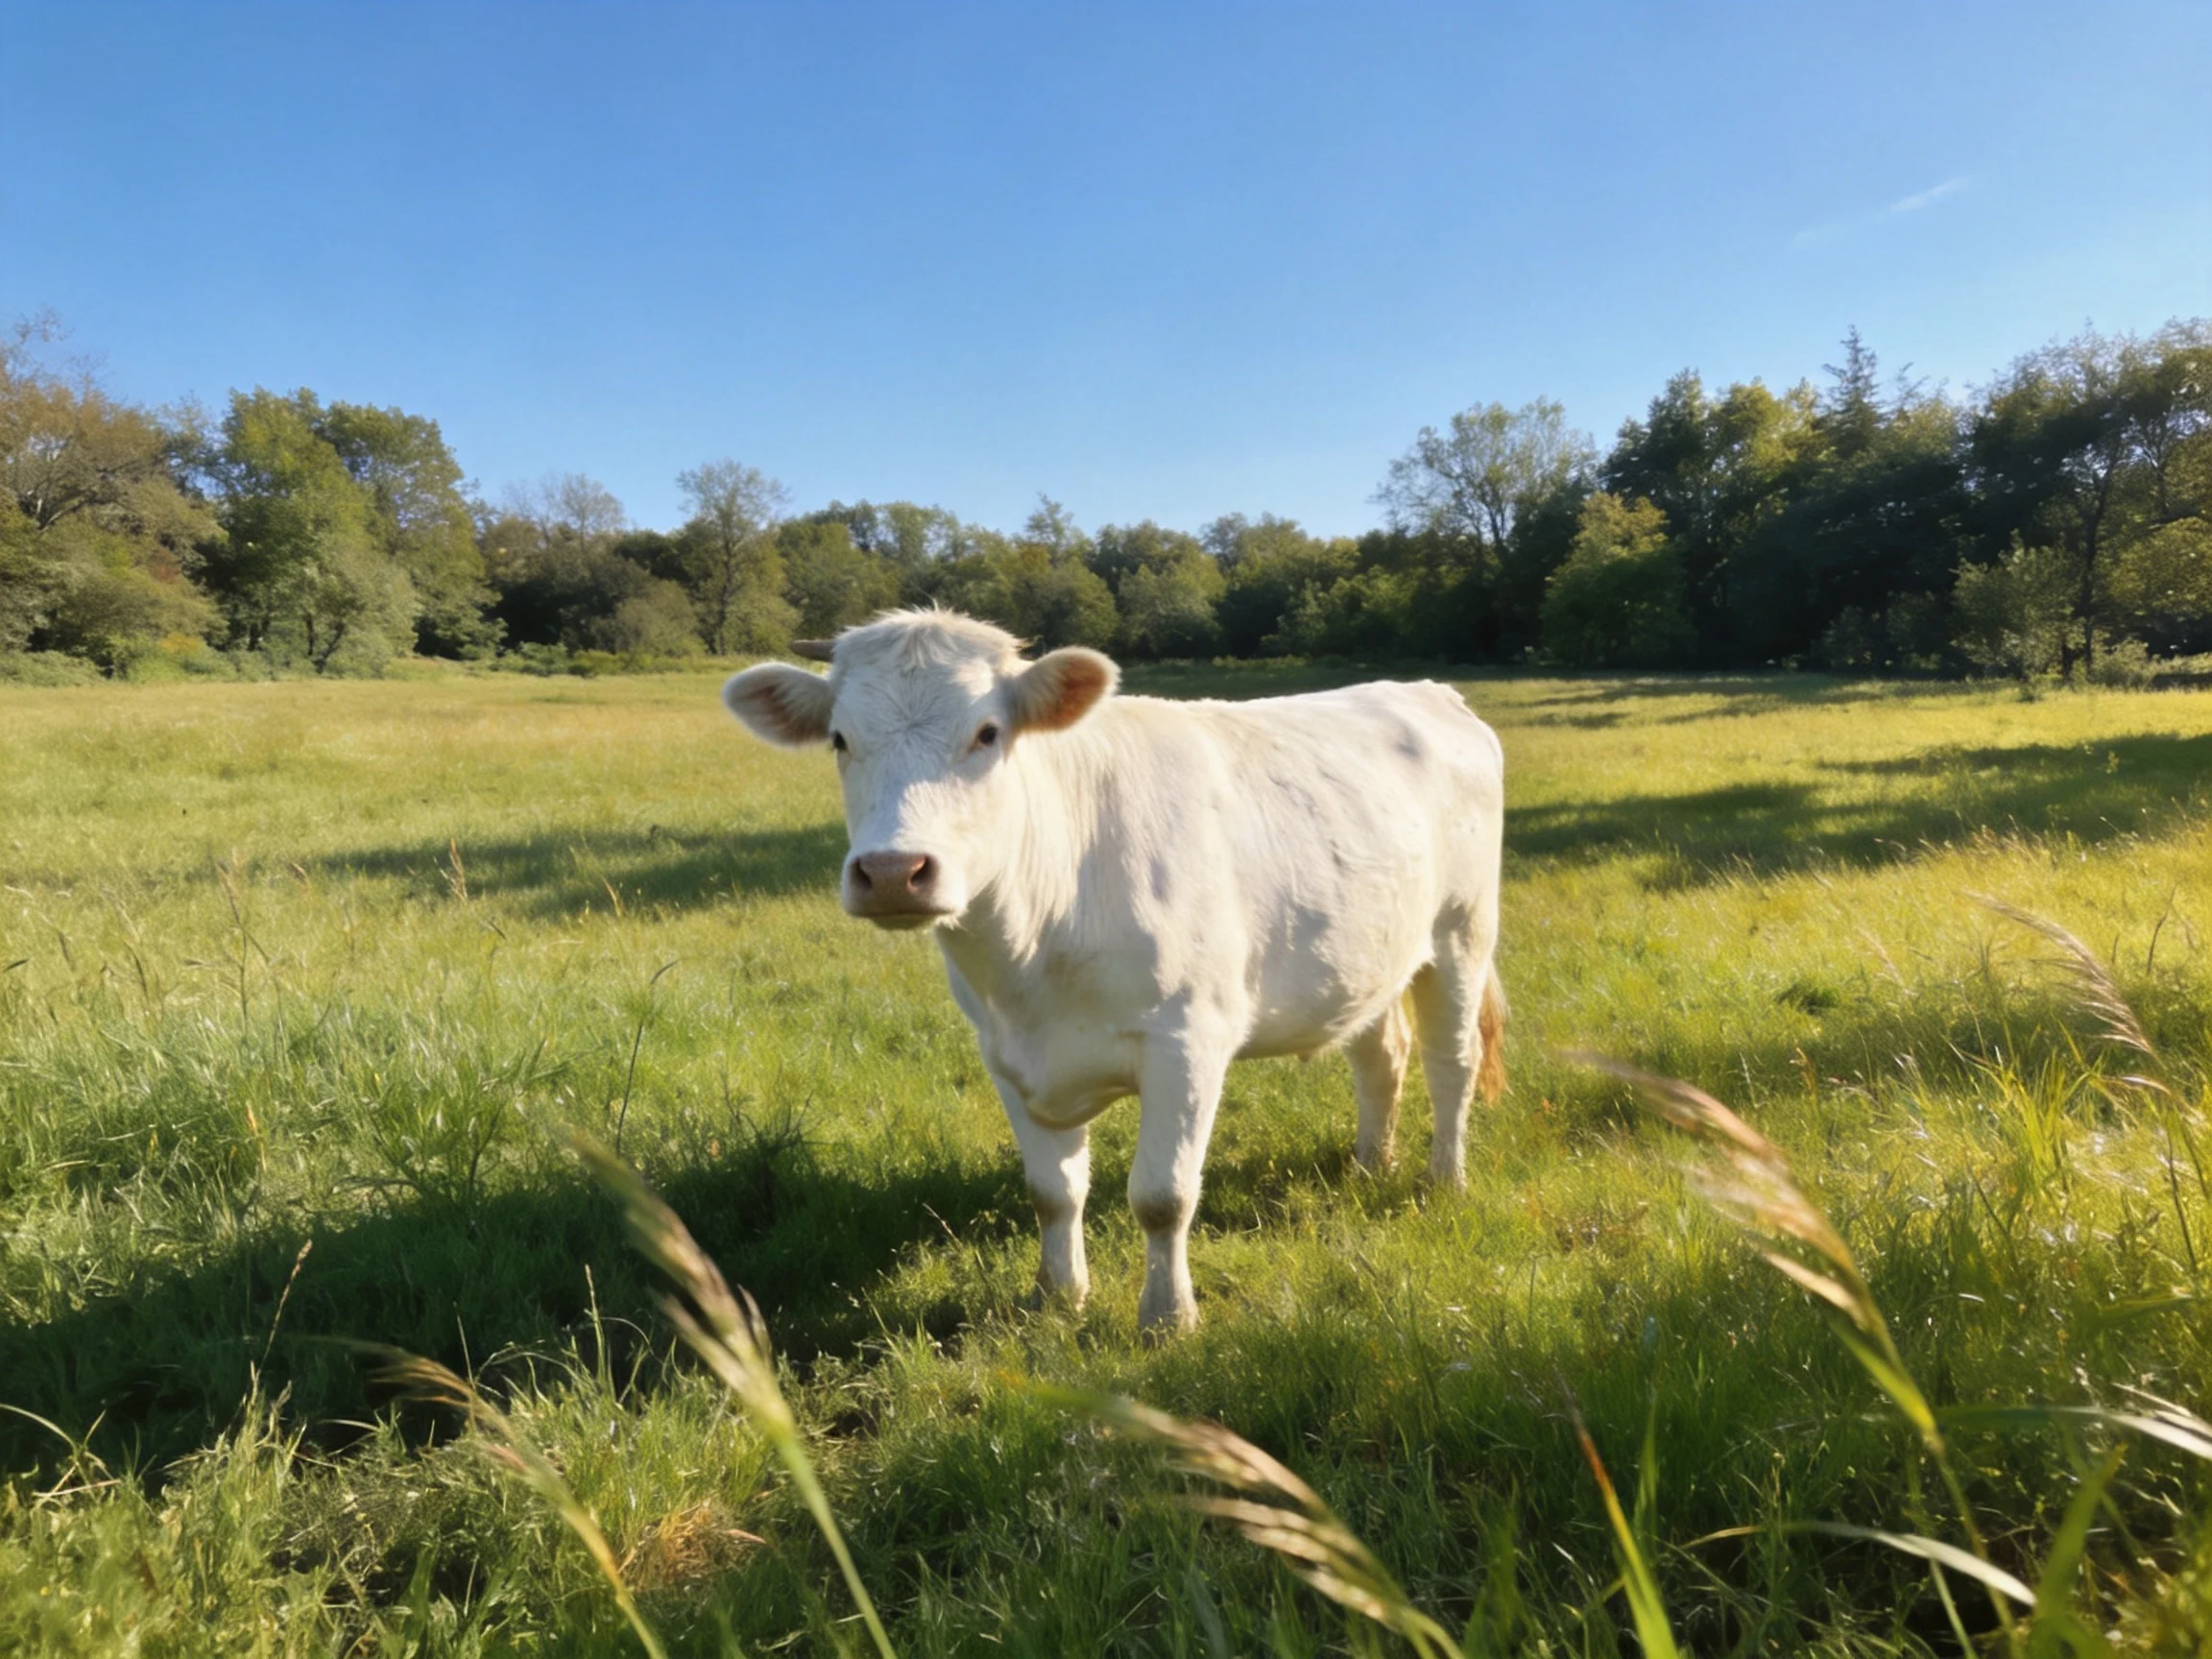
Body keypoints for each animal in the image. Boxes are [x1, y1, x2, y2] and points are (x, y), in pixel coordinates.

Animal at [723, 609, 1505, 1334]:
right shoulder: (1005, 1052)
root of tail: (1423, 690)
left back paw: (1446, 1180)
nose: (892, 871)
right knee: (1382, 1057)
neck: (1034, 952)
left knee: (1451, 1061)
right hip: (1370, 955)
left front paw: (1166, 1318)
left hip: (1461, 931)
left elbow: (1162, 1196)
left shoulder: (1187, 1041)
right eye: (839, 739)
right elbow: (1053, 1191)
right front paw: (1056, 1298)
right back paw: (1371, 1166)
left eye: (987, 733)